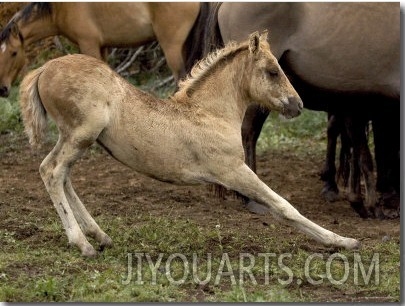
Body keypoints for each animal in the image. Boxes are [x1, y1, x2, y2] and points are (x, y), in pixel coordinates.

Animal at [0, 1, 200, 97]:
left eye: (14, 53)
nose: (2, 89)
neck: (60, 7)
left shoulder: (89, 44)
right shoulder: (102, 47)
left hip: (172, 47)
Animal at [19, 31, 360, 256]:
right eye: (273, 71)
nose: (297, 104)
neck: (211, 113)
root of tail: (44, 68)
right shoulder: (233, 170)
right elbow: (283, 206)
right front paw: (342, 241)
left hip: (75, 138)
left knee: (62, 175)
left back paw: (100, 235)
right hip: (81, 134)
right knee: (52, 171)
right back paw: (83, 243)